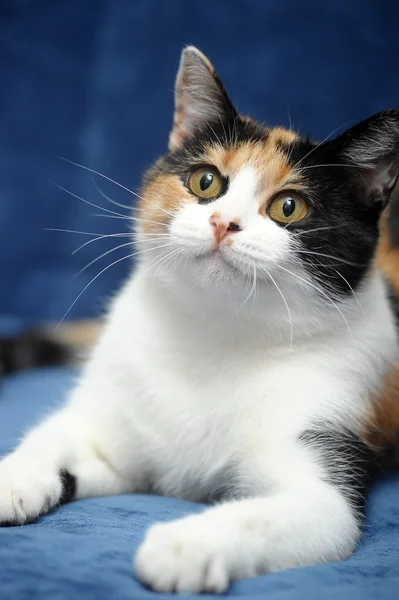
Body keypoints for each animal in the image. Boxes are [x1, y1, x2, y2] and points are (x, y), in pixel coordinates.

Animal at [0, 48, 399, 596]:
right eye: (205, 181)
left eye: (289, 206)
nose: (222, 223)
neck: (214, 333)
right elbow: (58, 432)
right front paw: (14, 475)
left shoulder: (330, 441)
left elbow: (287, 514)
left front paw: (184, 546)